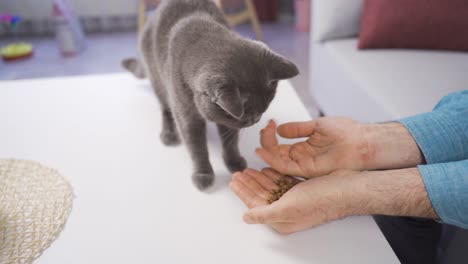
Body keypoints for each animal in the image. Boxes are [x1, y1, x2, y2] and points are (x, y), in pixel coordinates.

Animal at [123, 0, 300, 191]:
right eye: (248, 116)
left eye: (263, 110)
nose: (256, 120)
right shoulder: (187, 116)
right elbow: (197, 147)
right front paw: (203, 174)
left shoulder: (227, 122)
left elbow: (230, 142)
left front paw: (234, 162)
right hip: (157, 78)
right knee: (165, 107)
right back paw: (168, 134)